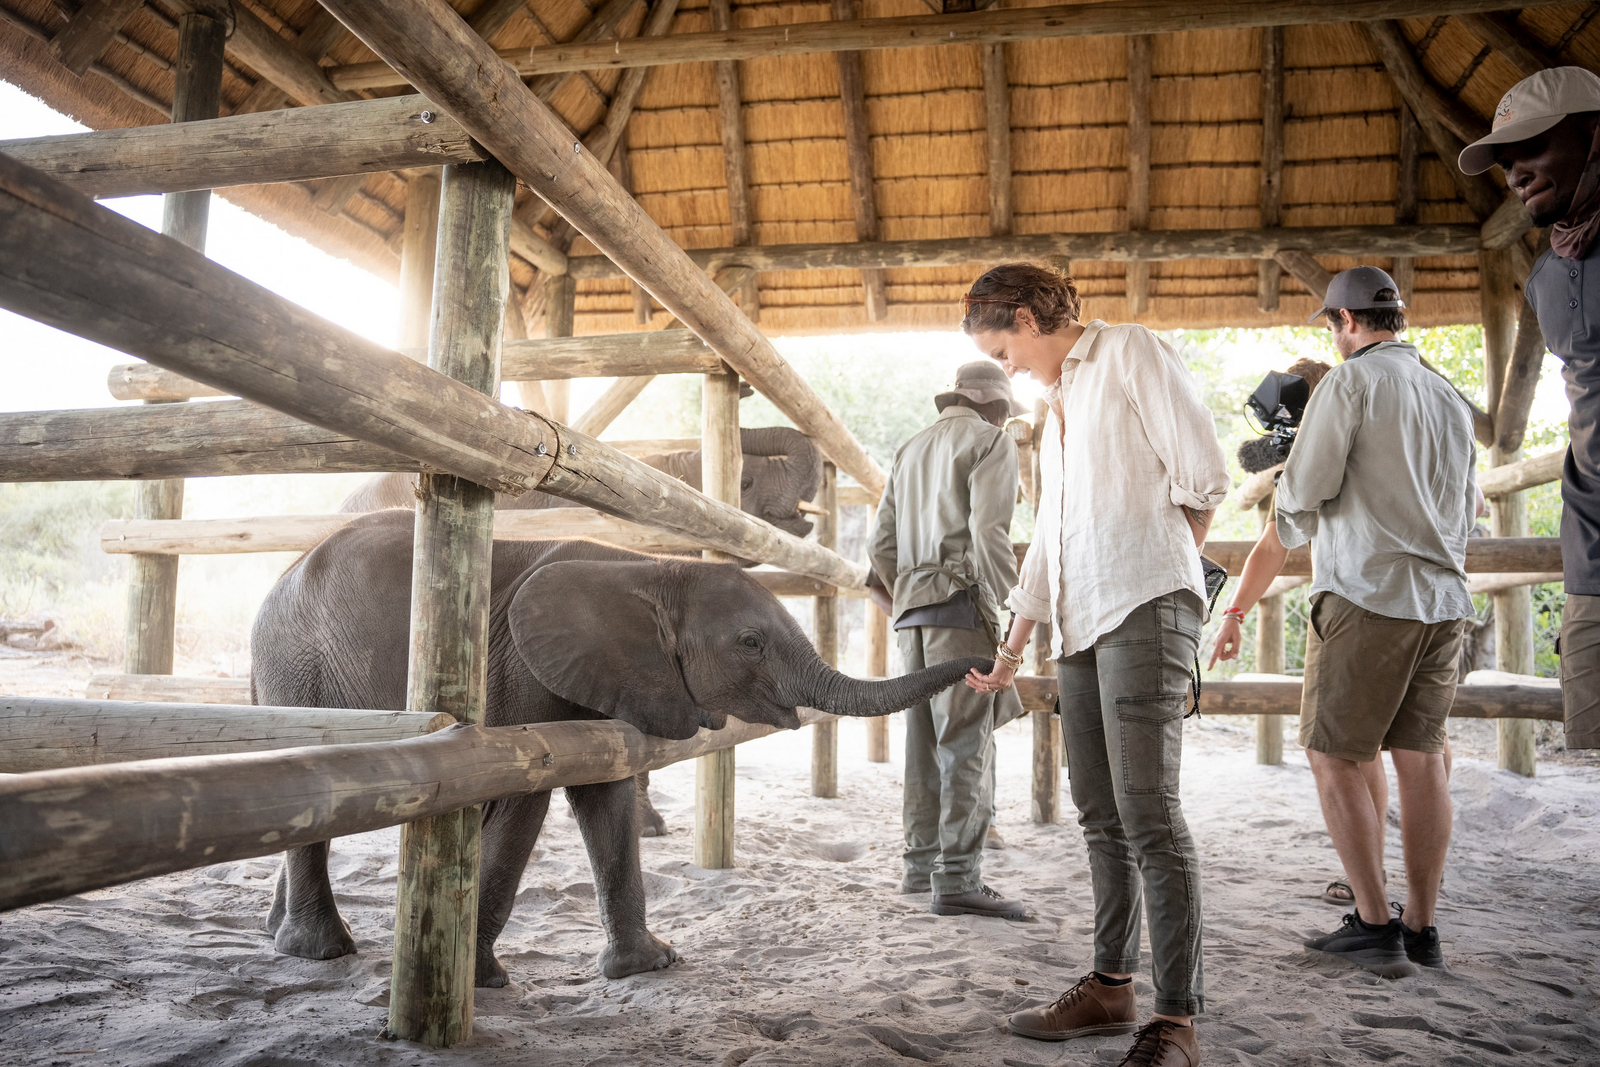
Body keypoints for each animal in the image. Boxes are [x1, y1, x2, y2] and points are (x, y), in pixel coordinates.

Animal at [252, 510, 989, 985]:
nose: (988, 663)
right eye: (752, 643)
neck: (649, 570)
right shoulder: (524, 675)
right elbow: (520, 805)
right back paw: (322, 950)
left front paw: (650, 965)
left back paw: (278, 936)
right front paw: (487, 982)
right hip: (299, 669)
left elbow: (606, 799)